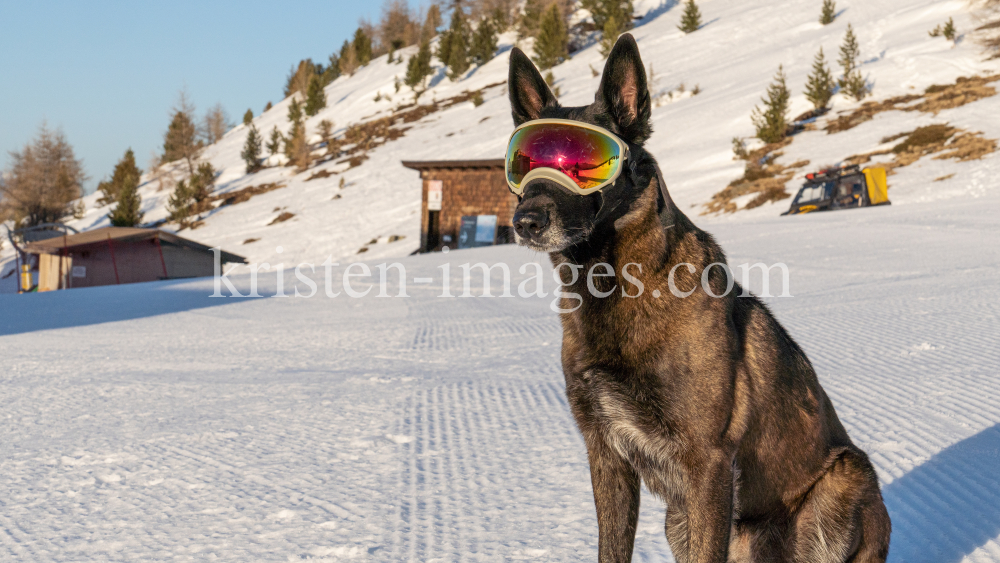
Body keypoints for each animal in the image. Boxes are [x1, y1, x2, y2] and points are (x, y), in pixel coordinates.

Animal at [508, 35, 892, 563]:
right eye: (523, 162)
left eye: (583, 165)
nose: (525, 221)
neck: (617, 287)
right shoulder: (606, 454)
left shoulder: (707, 462)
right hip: (678, 518)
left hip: (844, 478)